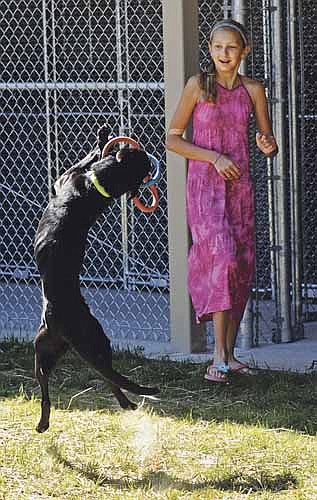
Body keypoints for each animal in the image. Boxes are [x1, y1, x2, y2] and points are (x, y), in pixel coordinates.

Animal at [33, 127, 158, 432]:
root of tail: (66, 330)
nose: (147, 153)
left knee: (96, 380)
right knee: (100, 378)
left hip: (58, 347)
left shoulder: (64, 178)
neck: (97, 187)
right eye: (140, 158)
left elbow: (86, 159)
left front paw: (101, 139)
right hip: (58, 348)